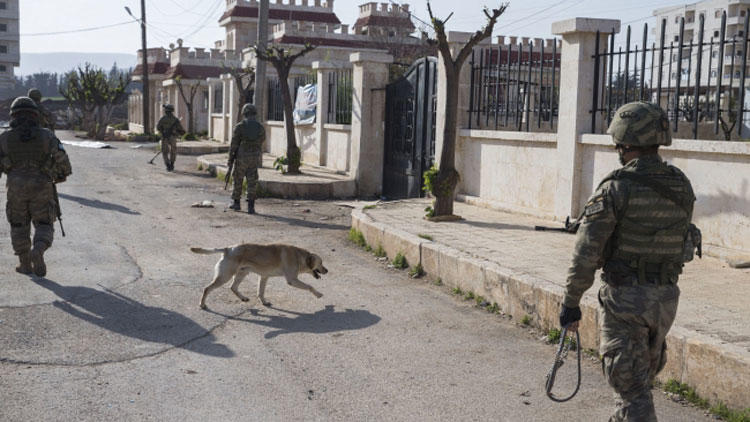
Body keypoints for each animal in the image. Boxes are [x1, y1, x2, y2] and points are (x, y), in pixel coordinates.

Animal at [191, 242, 328, 308]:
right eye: (321, 263)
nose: (327, 270)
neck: (299, 256)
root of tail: (228, 248)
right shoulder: (292, 280)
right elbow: (310, 286)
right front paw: (318, 294)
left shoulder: (264, 277)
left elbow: (260, 292)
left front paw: (263, 301)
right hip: (225, 276)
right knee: (207, 288)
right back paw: (202, 304)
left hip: (242, 273)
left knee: (233, 287)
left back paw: (243, 298)